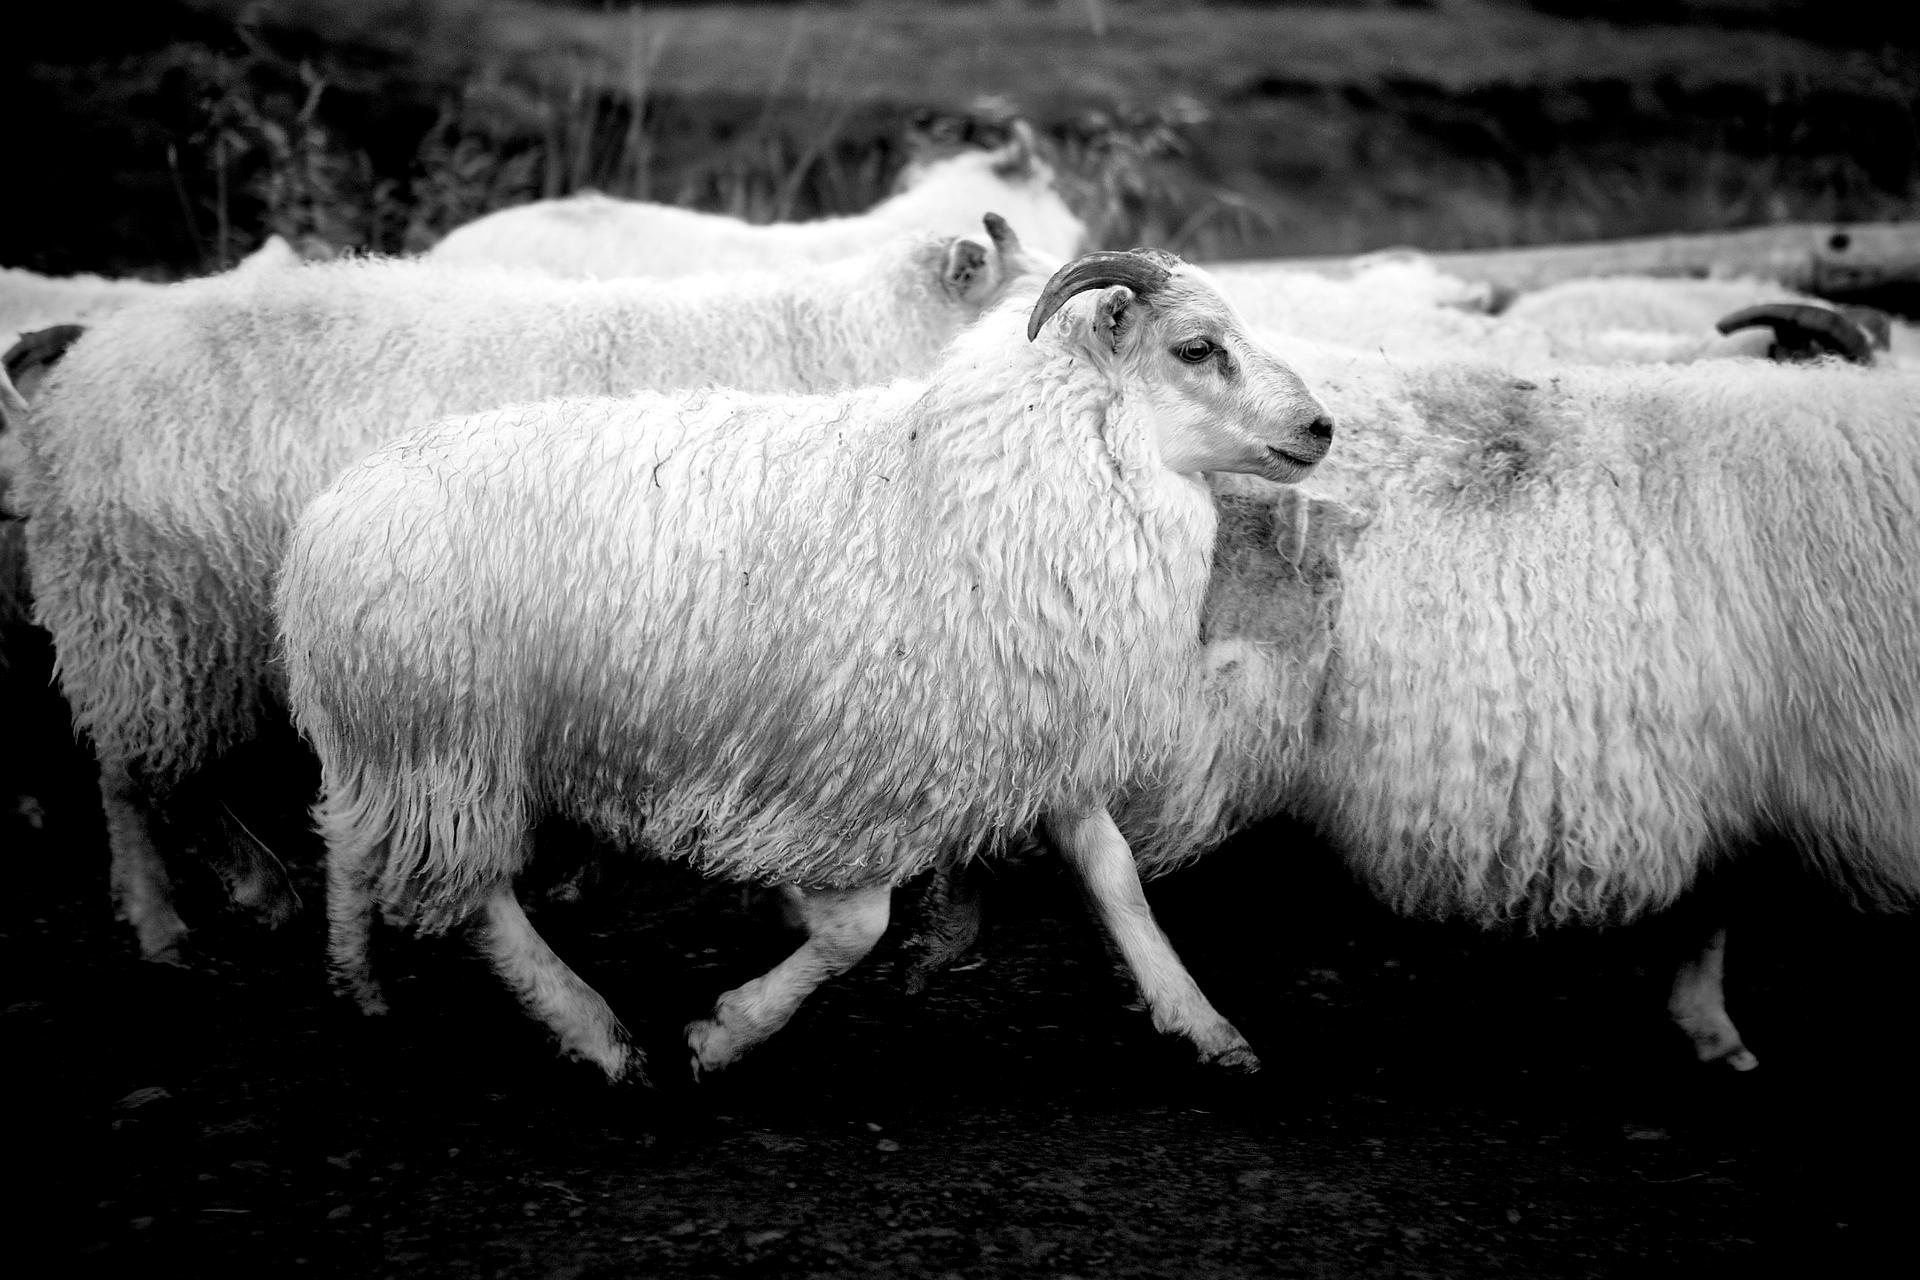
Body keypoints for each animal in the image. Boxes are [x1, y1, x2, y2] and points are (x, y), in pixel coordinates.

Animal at [15, 217, 1044, 959]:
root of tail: (72, 377)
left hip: (153, 619)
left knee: (146, 769)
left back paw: (203, 899)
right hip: (151, 609)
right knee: (146, 774)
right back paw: (191, 912)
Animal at [278, 247, 1336, 1082]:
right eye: (1195, 348)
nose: (1322, 428)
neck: (977, 486)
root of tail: (331, 510)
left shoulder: (1037, 723)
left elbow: (1116, 880)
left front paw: (1201, 1023)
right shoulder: (859, 775)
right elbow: (853, 930)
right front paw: (725, 1032)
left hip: (388, 729)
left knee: (350, 836)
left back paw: (356, 983)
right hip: (448, 733)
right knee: (470, 894)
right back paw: (593, 1032)